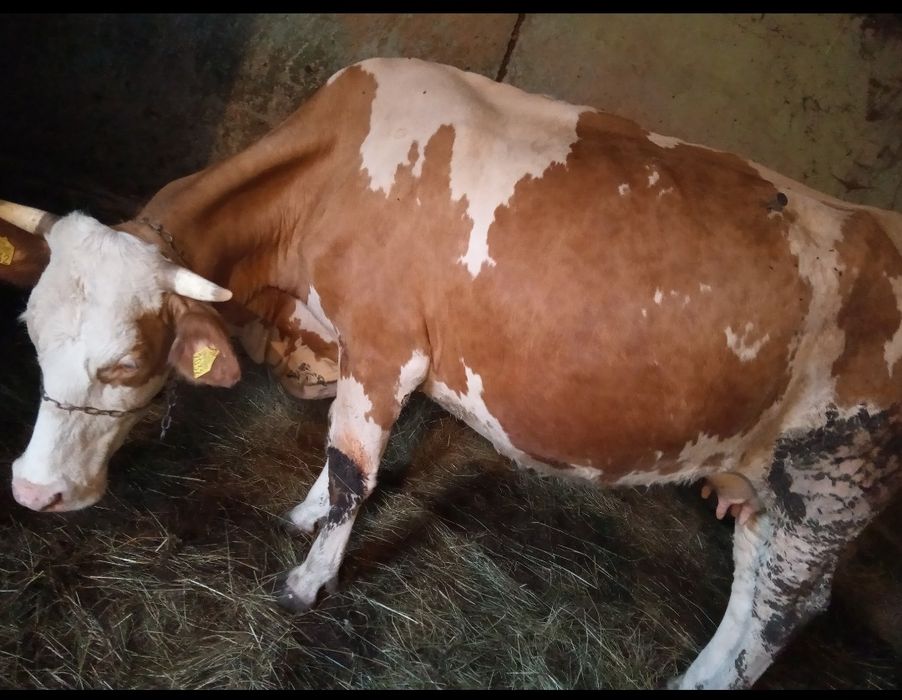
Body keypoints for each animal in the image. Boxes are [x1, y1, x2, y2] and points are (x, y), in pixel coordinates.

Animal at [1, 57, 901, 689]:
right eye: (32, 337)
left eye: (125, 362)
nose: (32, 493)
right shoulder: (357, 353)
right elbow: (337, 461)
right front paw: (302, 514)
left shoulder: (384, 345)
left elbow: (354, 474)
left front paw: (308, 581)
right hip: (770, 482)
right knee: (751, 587)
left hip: (830, 482)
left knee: (780, 611)